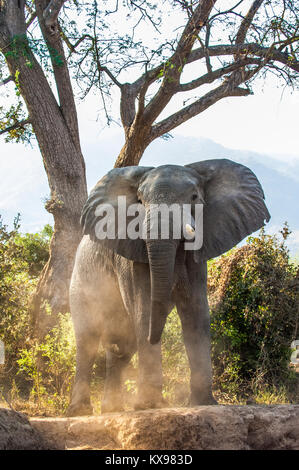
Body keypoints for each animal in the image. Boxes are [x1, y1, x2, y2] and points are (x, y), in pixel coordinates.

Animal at [66, 158, 272, 414]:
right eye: (140, 201)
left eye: (194, 197)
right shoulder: (131, 257)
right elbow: (144, 310)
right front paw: (149, 406)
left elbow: (196, 313)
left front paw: (205, 403)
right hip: (81, 281)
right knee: (88, 339)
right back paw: (80, 411)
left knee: (123, 345)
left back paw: (112, 409)